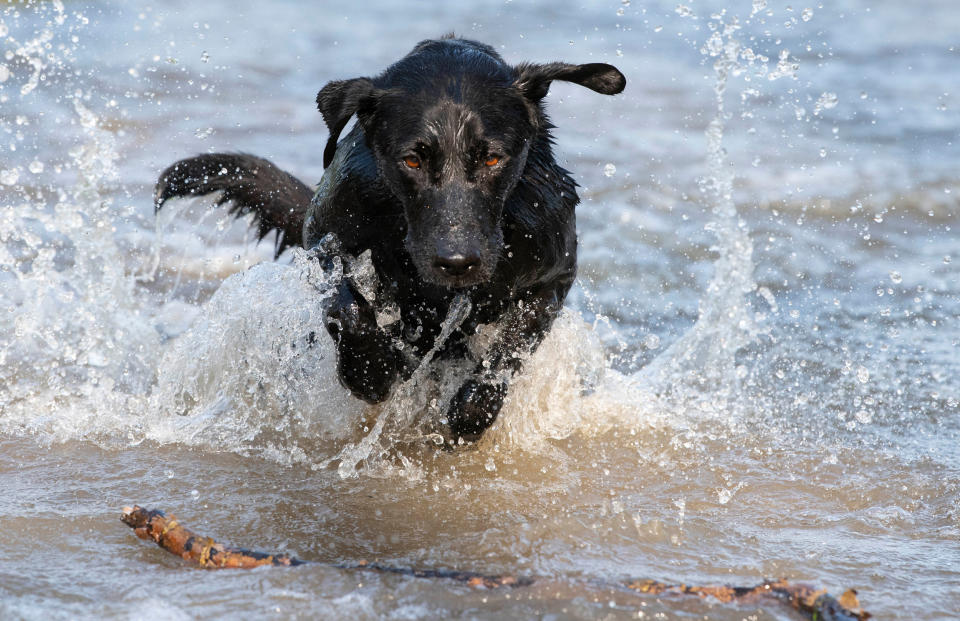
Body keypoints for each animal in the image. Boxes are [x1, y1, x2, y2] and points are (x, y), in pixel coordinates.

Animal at [155, 36, 628, 438]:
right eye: (412, 161)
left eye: (493, 158)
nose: (457, 263)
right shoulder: (326, 236)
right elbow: (343, 304)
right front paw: (370, 370)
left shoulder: (552, 274)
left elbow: (511, 349)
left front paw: (472, 410)